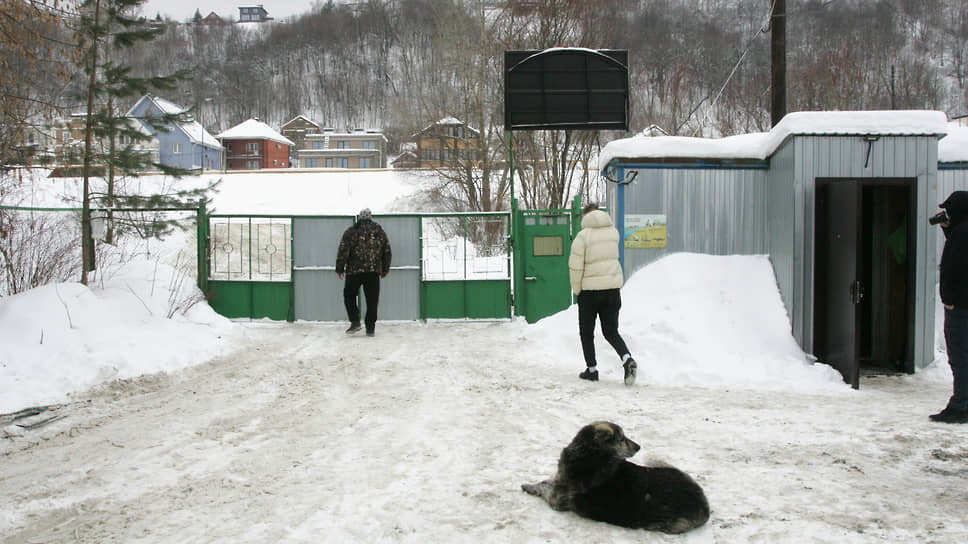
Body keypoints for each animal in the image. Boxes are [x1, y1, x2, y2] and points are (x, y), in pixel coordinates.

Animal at [520, 422, 712, 532]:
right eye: (622, 439)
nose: (638, 447)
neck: (591, 454)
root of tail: (704, 503)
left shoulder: (557, 499)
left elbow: (544, 484)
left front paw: (529, 486)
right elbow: (549, 480)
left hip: (668, 523)